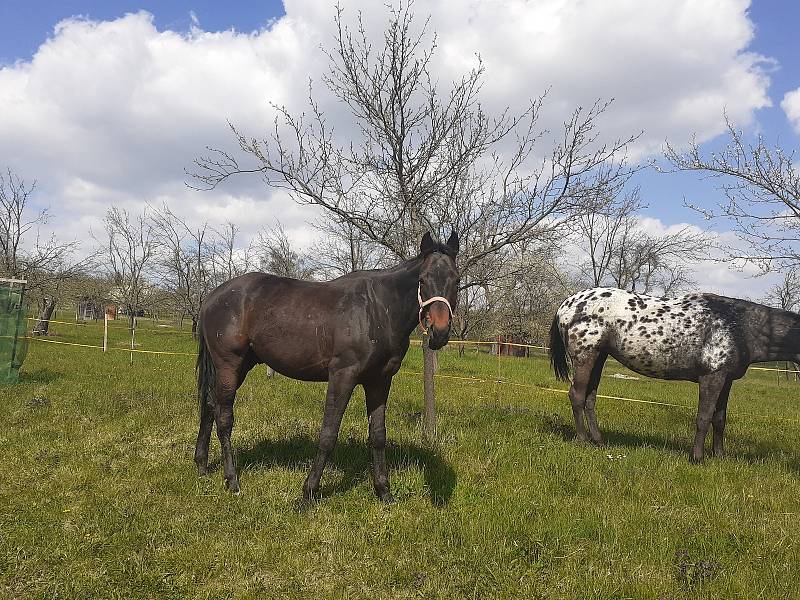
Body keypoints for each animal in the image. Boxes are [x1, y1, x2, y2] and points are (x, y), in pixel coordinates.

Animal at [194, 232, 460, 500]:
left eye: (457, 280)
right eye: (422, 280)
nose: (439, 332)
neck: (376, 309)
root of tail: (212, 297)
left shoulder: (379, 381)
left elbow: (378, 435)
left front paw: (384, 492)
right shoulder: (342, 377)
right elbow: (328, 434)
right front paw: (308, 492)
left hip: (240, 366)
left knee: (209, 406)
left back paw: (202, 465)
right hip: (228, 366)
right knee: (223, 418)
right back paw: (232, 481)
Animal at [552, 288, 800, 462]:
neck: (740, 326)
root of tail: (566, 303)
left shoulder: (726, 380)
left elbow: (719, 419)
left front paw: (719, 456)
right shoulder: (712, 378)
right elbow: (703, 417)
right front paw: (697, 458)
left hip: (599, 357)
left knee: (590, 398)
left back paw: (599, 441)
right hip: (585, 357)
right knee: (576, 396)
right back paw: (583, 440)